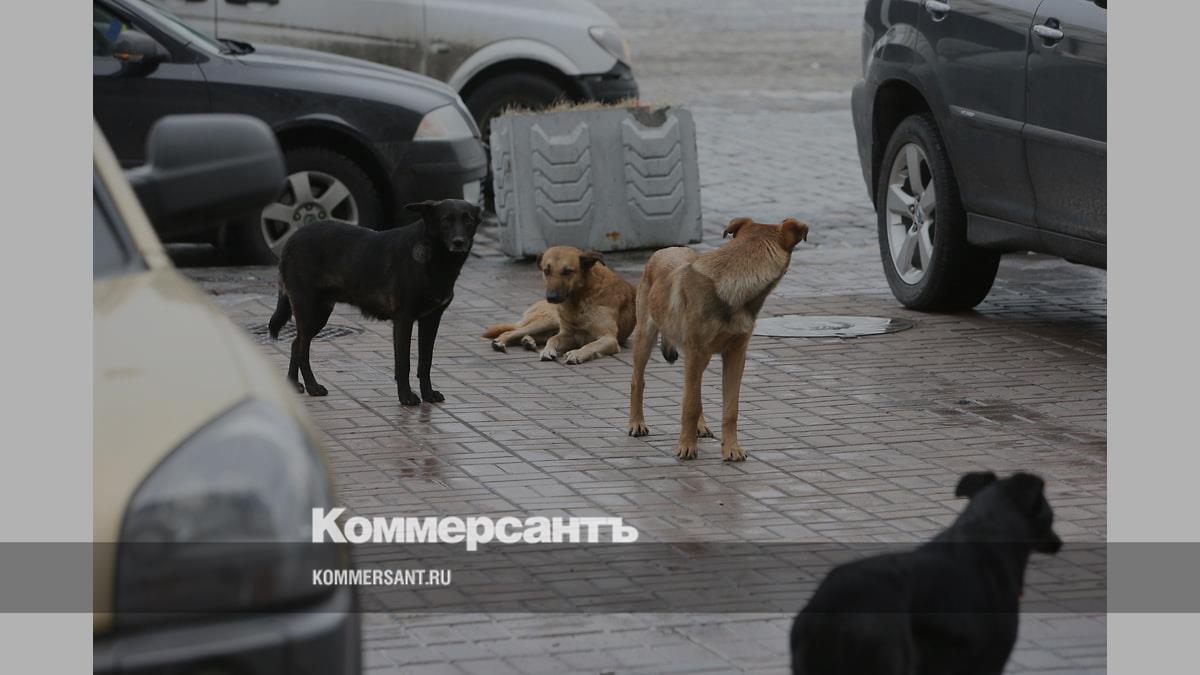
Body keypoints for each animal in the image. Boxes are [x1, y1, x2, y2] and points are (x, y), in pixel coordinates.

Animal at [268, 199, 482, 406]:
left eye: (468, 220)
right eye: (446, 220)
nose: (459, 242)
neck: (436, 258)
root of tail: (292, 238)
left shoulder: (431, 320)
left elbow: (425, 362)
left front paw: (428, 394)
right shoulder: (403, 320)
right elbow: (403, 363)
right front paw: (406, 397)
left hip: (319, 314)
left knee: (296, 344)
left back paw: (293, 384)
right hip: (307, 310)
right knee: (302, 350)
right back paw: (312, 386)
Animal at [482, 246, 637, 365]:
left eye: (567, 271)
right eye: (546, 271)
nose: (551, 297)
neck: (579, 299)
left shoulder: (609, 338)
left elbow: (590, 345)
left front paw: (577, 354)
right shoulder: (567, 334)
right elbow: (553, 339)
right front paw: (548, 350)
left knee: (534, 335)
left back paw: (528, 341)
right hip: (549, 320)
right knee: (511, 332)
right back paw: (501, 342)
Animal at [627, 217, 809, 461]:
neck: (732, 284)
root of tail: (668, 248)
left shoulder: (735, 356)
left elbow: (730, 409)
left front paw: (731, 449)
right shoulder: (696, 353)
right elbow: (690, 405)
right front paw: (687, 446)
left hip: (699, 358)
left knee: (695, 391)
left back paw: (700, 426)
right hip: (646, 337)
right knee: (639, 381)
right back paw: (637, 423)